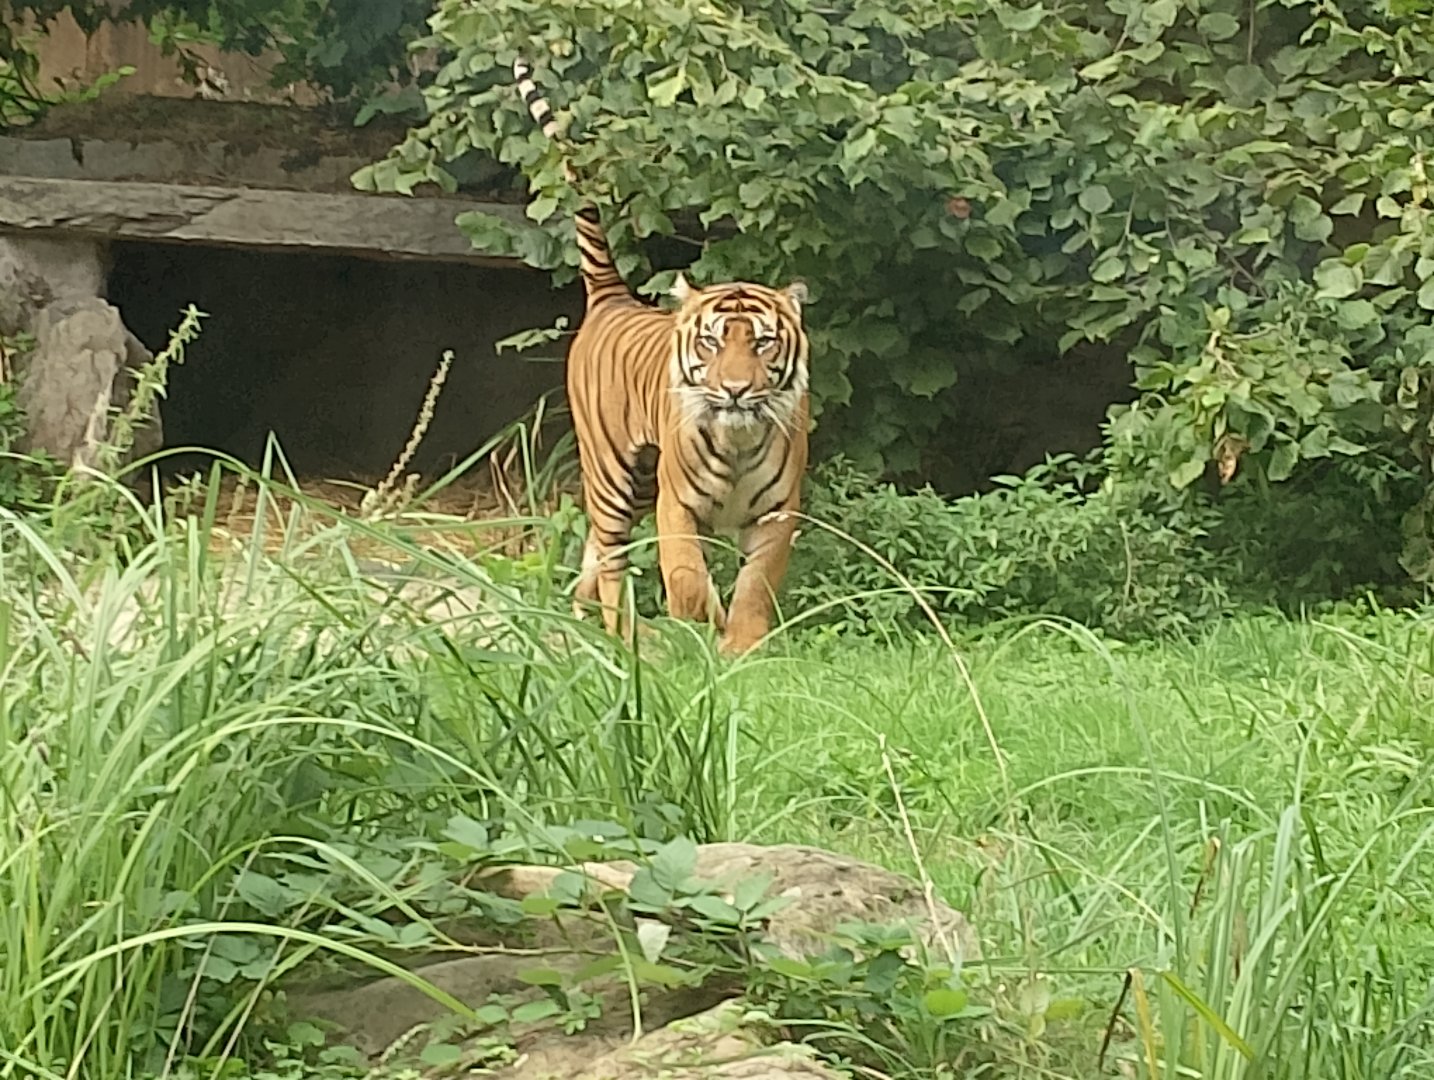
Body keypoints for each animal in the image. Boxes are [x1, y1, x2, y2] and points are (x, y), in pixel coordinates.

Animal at [511, 56, 813, 656]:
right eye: (712, 342)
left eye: (762, 342)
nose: (736, 390)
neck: (739, 442)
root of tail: (612, 296)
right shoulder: (677, 502)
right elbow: (686, 574)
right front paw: (700, 626)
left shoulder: (777, 513)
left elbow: (756, 586)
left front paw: (741, 644)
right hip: (611, 473)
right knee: (610, 559)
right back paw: (627, 634)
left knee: (593, 561)